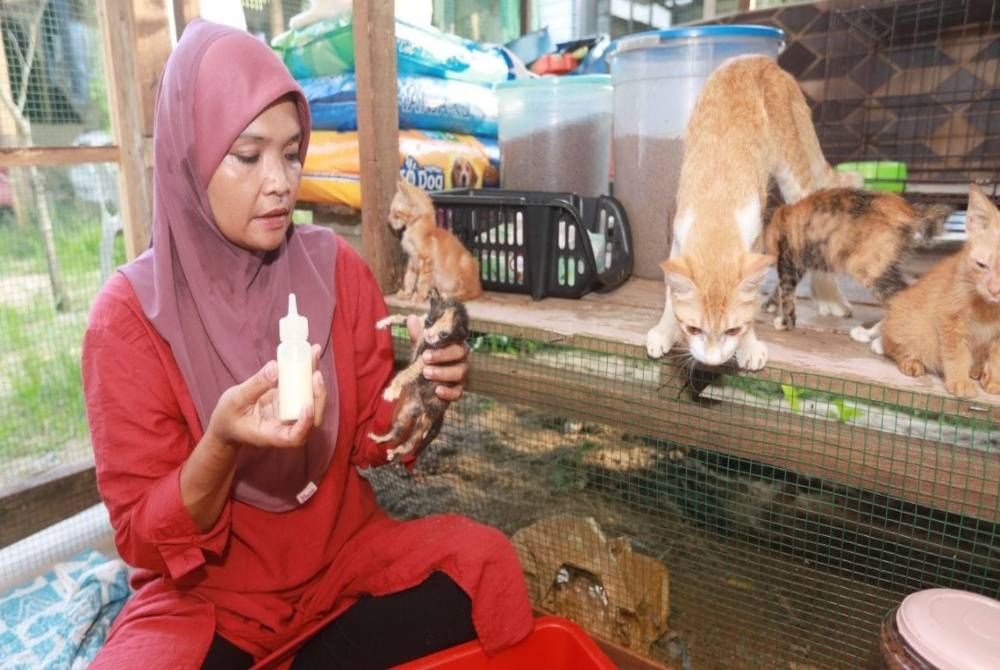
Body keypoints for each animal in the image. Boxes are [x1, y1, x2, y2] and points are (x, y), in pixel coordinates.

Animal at [648, 55, 860, 372]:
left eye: (732, 330)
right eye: (693, 329)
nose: (712, 361)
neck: (717, 209)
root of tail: (760, 59)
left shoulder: (755, 237)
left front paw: (749, 345)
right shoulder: (679, 237)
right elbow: (670, 293)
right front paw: (665, 329)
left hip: (794, 172)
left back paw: (828, 296)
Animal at [764, 188, 952, 334]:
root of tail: (907, 208)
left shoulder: (787, 259)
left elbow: (786, 292)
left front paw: (786, 322)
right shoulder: (797, 261)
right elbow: (780, 287)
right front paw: (770, 304)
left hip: (870, 267)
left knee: (899, 297)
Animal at [880, 184, 1000, 400]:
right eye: (981, 265)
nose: (994, 290)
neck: (990, 310)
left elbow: (997, 358)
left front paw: (994, 380)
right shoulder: (949, 317)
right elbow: (956, 353)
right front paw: (960, 381)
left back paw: (977, 369)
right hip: (907, 325)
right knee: (892, 347)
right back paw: (911, 362)